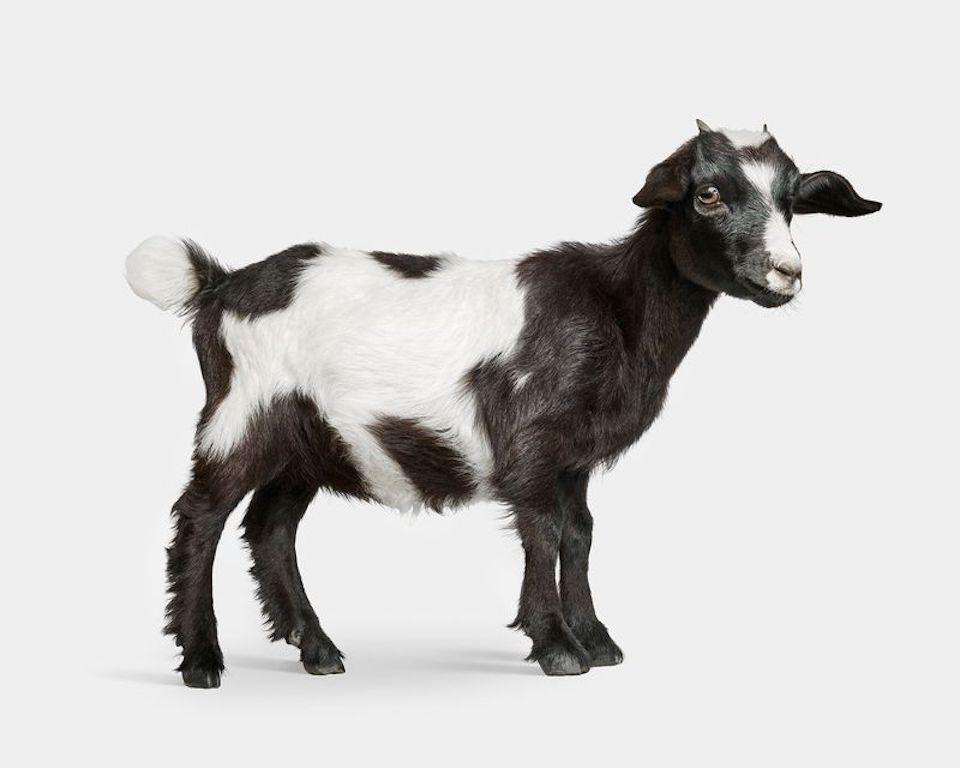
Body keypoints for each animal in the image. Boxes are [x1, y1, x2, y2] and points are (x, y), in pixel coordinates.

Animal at [126, 121, 881, 688]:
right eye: (709, 194)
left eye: (791, 199)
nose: (786, 273)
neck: (618, 307)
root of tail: (218, 286)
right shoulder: (532, 443)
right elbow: (542, 531)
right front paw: (559, 648)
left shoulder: (573, 457)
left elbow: (579, 533)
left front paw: (595, 639)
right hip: (241, 415)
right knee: (200, 519)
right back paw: (202, 661)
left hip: (308, 442)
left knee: (270, 530)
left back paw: (317, 649)